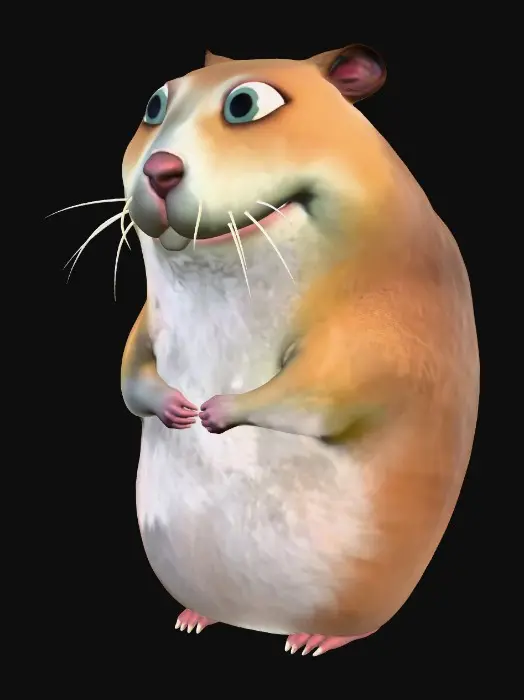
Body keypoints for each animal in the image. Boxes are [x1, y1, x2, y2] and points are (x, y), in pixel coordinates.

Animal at [117, 46, 479, 656]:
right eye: (154, 105)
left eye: (245, 104)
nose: (159, 170)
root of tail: (259, 619)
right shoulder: (150, 321)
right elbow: (129, 370)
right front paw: (176, 407)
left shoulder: (380, 321)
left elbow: (323, 387)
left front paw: (217, 411)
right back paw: (195, 616)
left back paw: (313, 639)